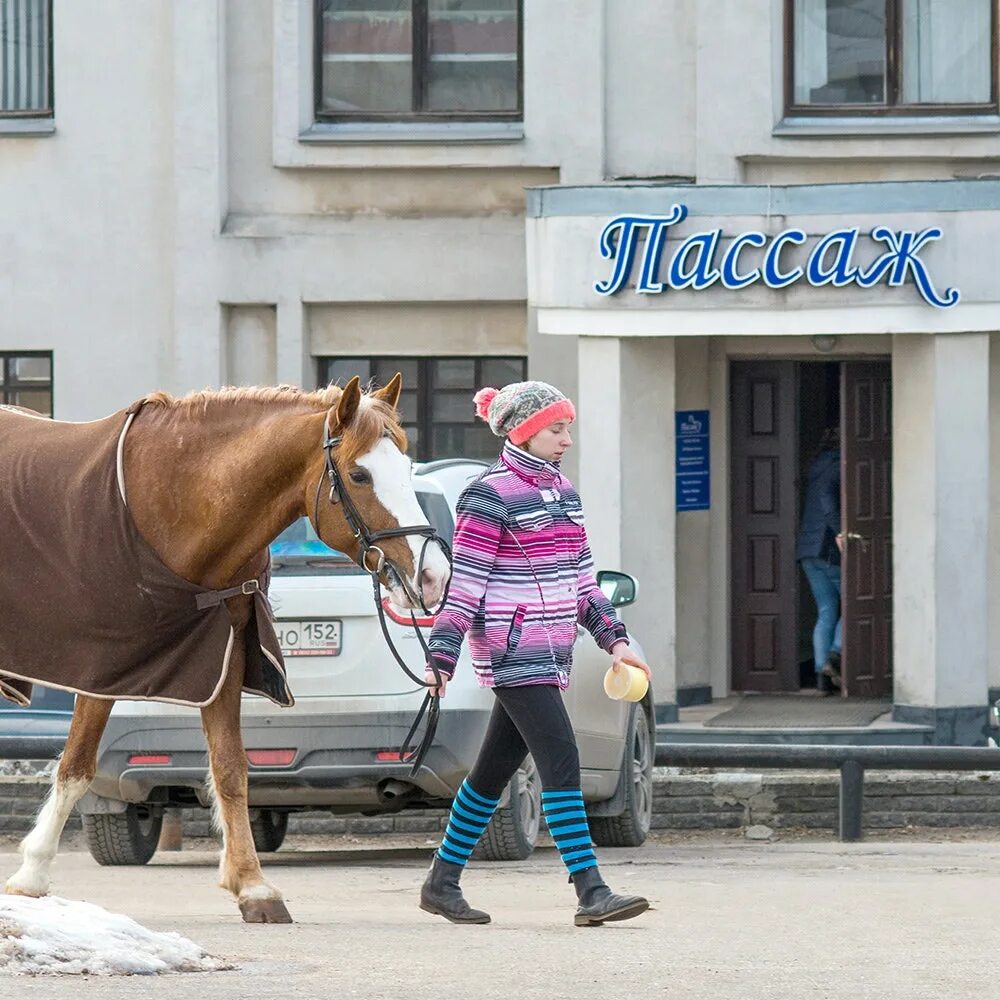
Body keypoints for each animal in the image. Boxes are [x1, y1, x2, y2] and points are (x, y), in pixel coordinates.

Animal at [0, 376, 446, 920]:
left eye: (407, 468)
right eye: (359, 475)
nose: (433, 574)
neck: (173, 502)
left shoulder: (225, 657)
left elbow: (232, 769)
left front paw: (253, 886)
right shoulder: (105, 664)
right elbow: (76, 765)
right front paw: (31, 875)